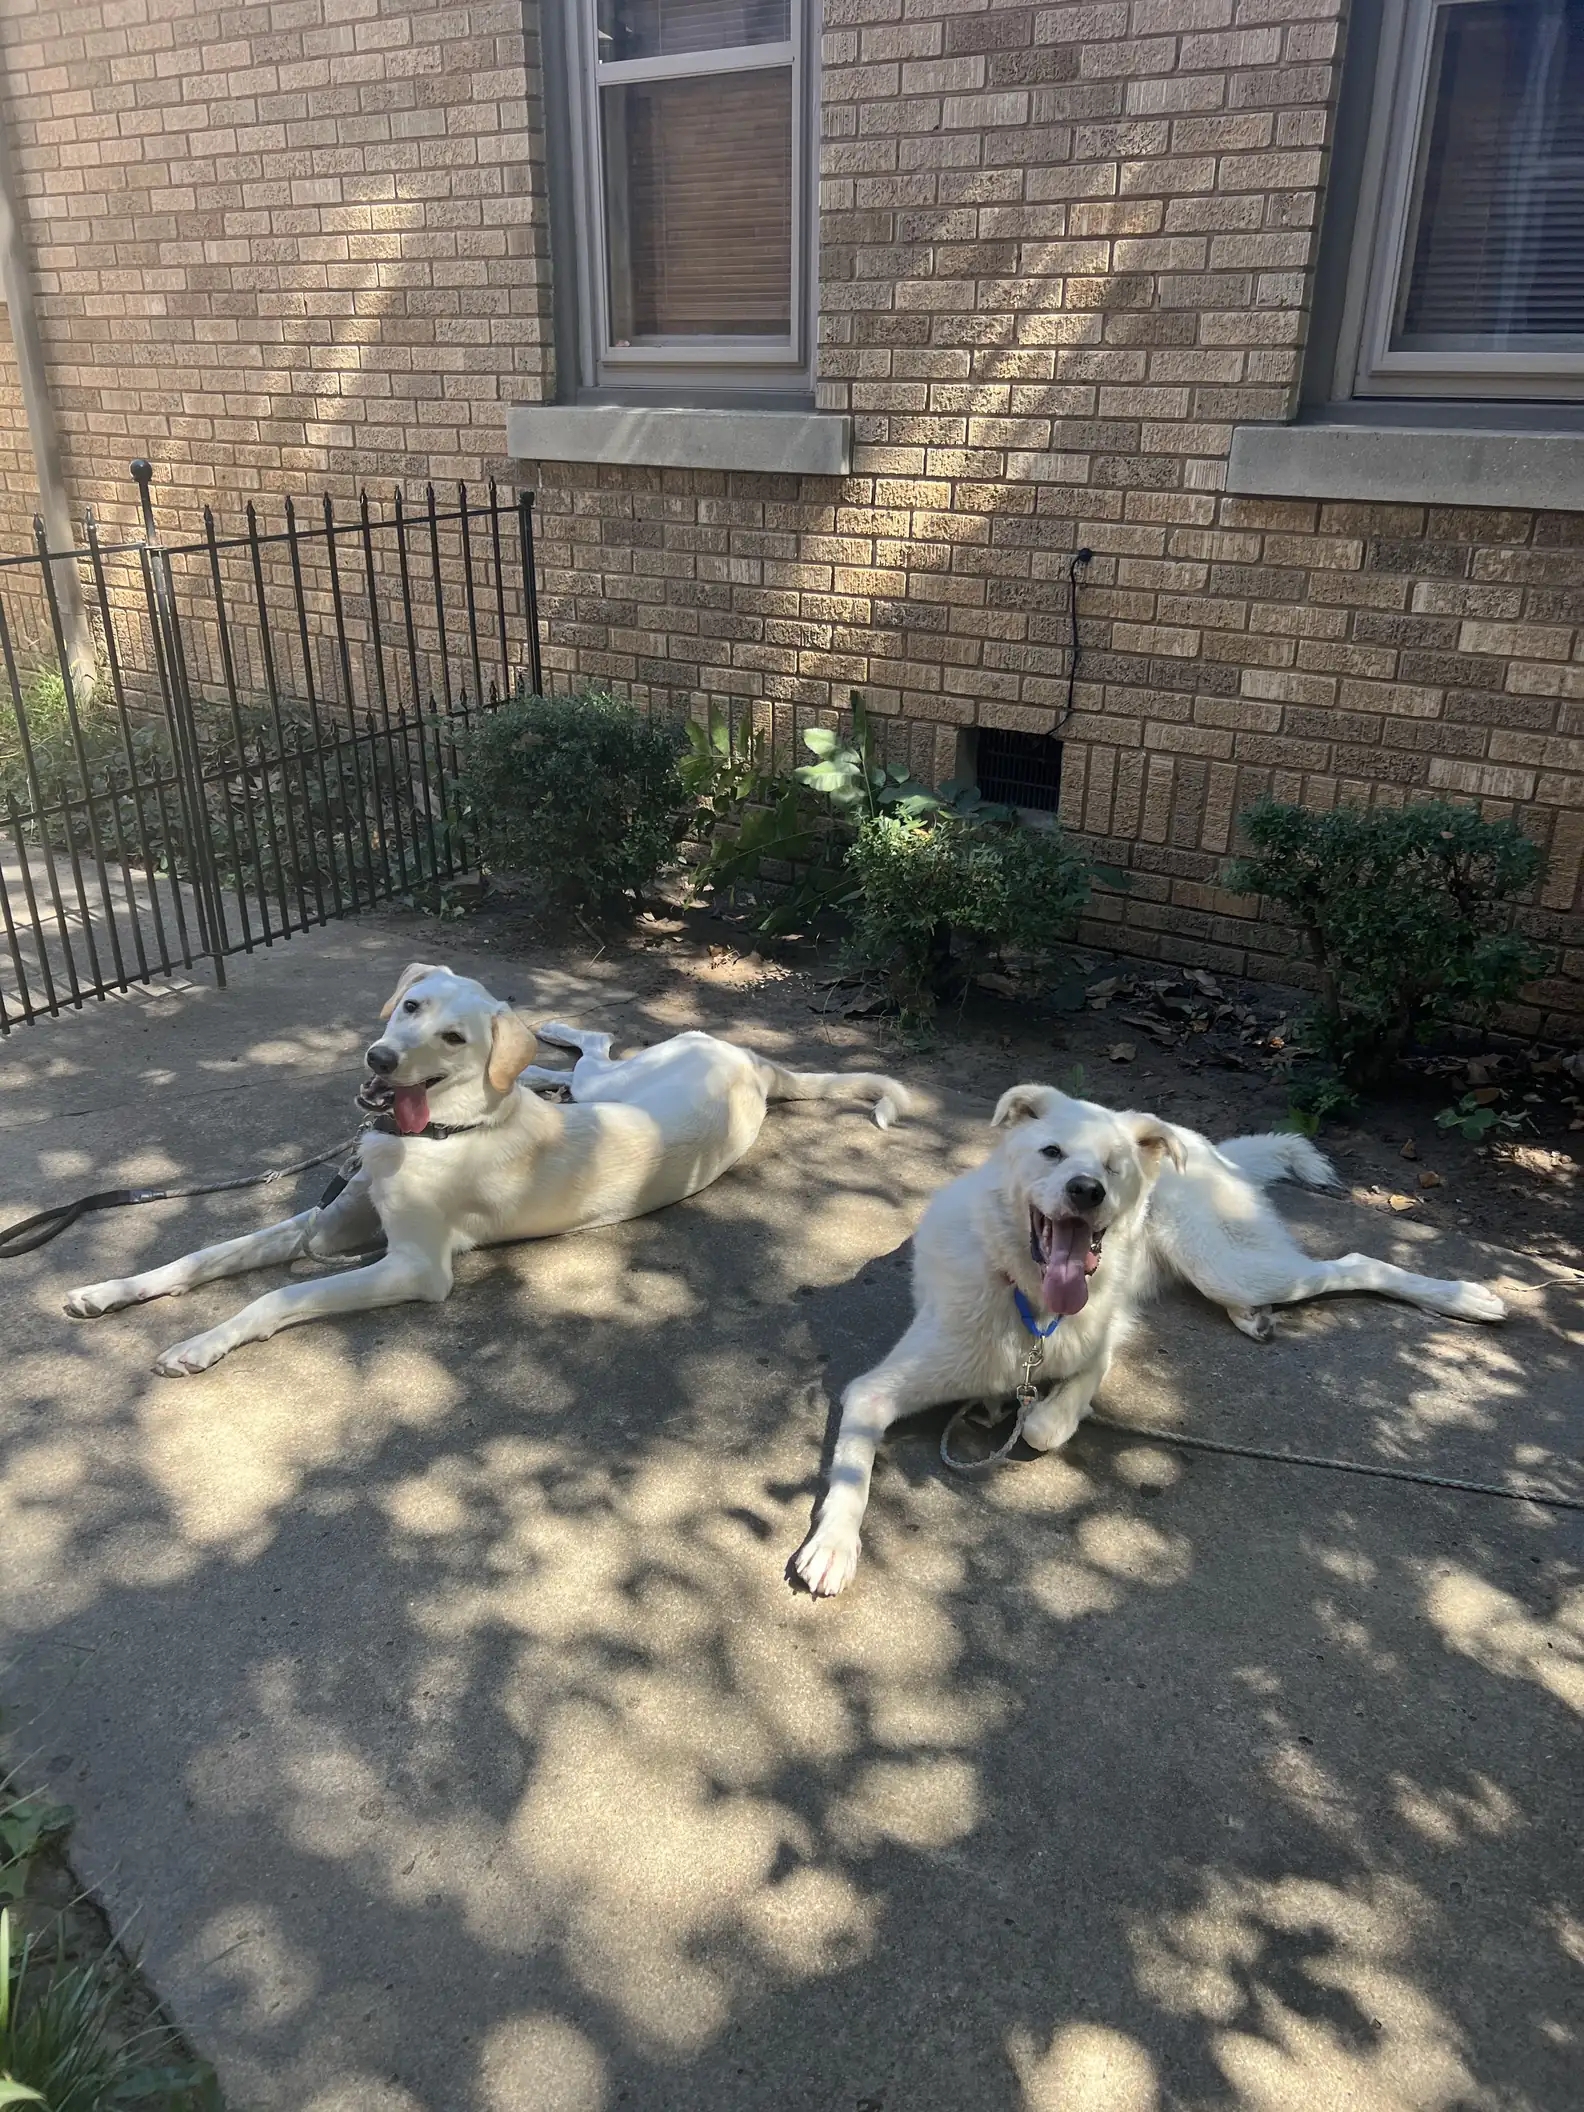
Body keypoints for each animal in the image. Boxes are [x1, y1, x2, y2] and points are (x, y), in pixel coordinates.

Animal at [68, 967, 912, 1377]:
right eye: (410, 1005)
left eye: (452, 1037)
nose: (379, 1060)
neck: (435, 1132)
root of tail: (750, 1062)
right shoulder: (327, 1225)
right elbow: (204, 1254)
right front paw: (110, 1290)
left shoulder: (411, 1266)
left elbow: (277, 1294)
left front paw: (200, 1346)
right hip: (611, 1085)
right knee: (571, 1057)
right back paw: (539, 1061)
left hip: (618, 1082)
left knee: (592, 1046)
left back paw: (547, 1041)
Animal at [798, 1081, 1503, 1588]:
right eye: (1052, 1152)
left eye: (1112, 1166)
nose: (1089, 1189)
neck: (1028, 1301)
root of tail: (1199, 1141)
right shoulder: (874, 1391)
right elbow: (853, 1471)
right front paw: (833, 1544)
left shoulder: (1104, 1333)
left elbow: (1050, 1419)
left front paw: (1041, 1413)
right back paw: (1256, 1317)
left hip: (1224, 1263)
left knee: (1352, 1264)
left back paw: (1462, 1297)